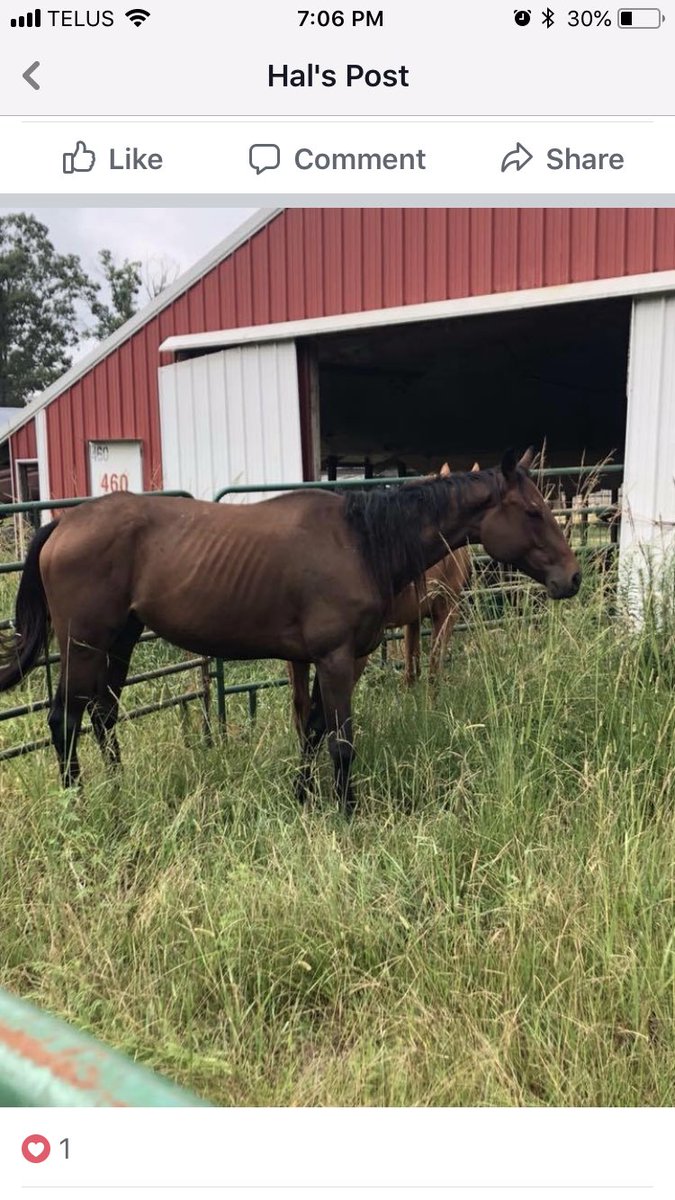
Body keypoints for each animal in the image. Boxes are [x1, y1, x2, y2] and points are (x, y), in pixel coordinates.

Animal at [0, 448, 581, 815]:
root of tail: (63, 524)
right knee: (65, 719)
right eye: (533, 512)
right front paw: (348, 814)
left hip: (120, 639)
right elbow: (340, 742)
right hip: (84, 643)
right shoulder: (337, 659)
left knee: (103, 715)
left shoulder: (346, 658)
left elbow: (313, 730)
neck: (361, 542)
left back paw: (120, 790)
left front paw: (302, 798)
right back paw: (77, 802)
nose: (572, 578)